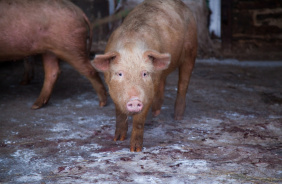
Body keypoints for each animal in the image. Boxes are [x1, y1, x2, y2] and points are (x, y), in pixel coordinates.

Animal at [91, 0, 197, 152]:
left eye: (145, 73)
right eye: (120, 73)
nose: (135, 100)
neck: (130, 46)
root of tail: (182, 4)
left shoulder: (147, 94)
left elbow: (139, 121)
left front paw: (135, 150)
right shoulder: (113, 90)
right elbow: (119, 114)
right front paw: (117, 139)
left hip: (191, 48)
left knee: (183, 82)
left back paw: (177, 117)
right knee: (162, 81)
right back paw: (156, 113)